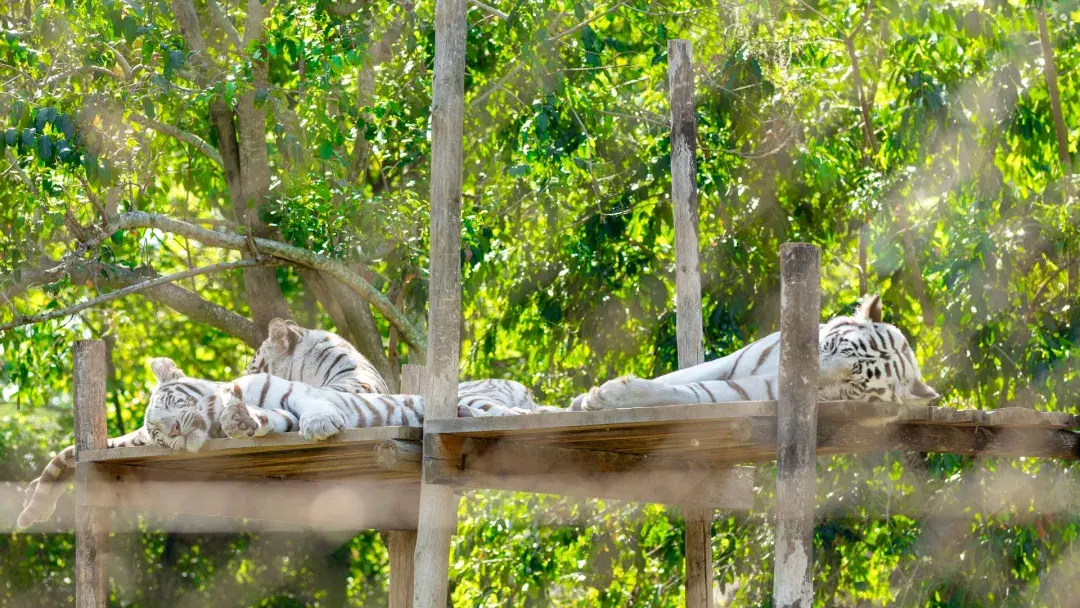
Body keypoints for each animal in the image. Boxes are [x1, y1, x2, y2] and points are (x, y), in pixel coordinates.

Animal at [569, 294, 939, 410]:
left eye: (852, 385)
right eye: (831, 347)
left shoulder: (758, 389)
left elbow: (696, 391)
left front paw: (609, 396)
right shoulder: (733, 361)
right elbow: (681, 376)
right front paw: (579, 399)